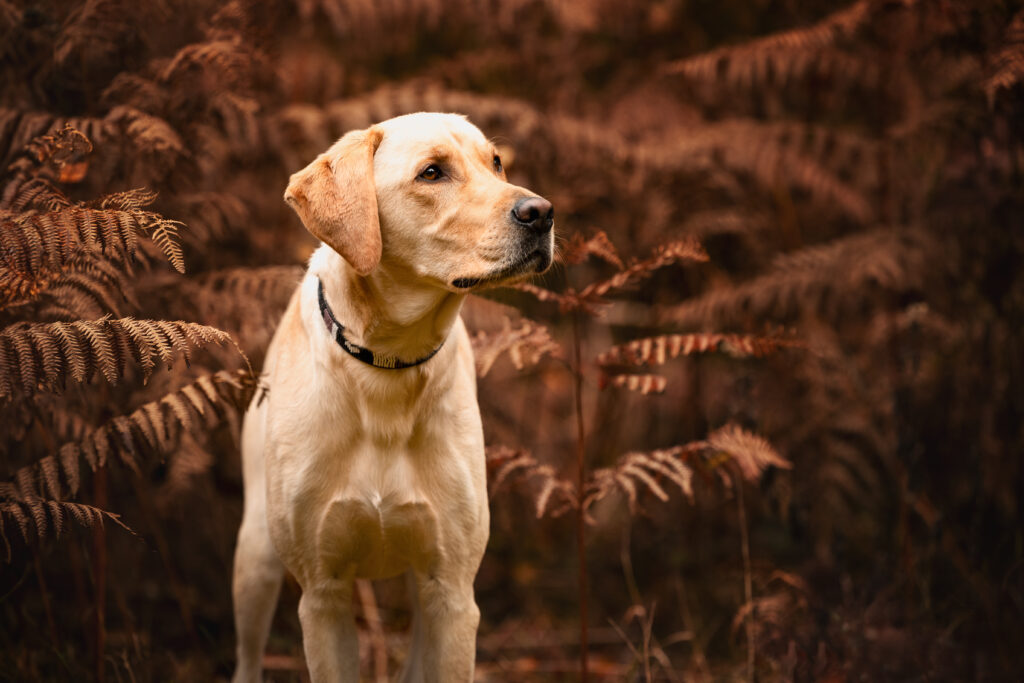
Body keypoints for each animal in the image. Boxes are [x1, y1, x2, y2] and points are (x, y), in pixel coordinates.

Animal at [229, 113, 557, 683]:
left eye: (496, 162)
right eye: (432, 172)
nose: (542, 213)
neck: (389, 366)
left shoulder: (452, 592)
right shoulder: (323, 595)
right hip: (255, 558)